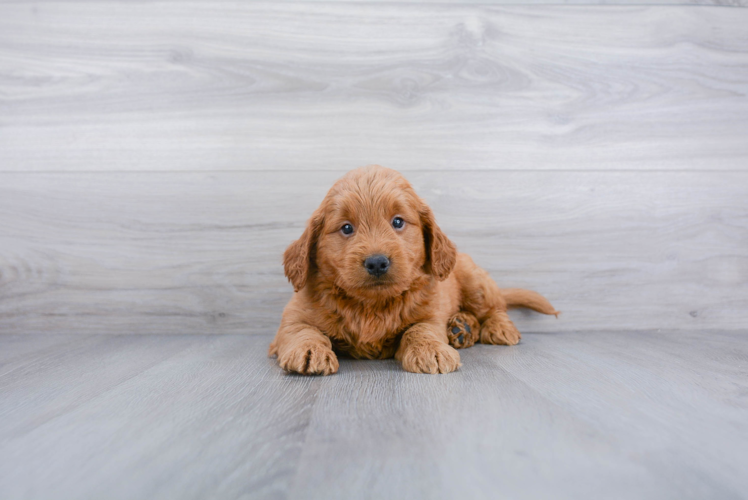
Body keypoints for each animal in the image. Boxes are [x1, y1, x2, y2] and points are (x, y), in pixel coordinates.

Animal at [268, 166, 556, 374]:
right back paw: (462, 327)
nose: (377, 262)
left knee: (495, 307)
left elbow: (420, 330)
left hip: (475, 281)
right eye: (346, 228)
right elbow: (303, 331)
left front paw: (432, 350)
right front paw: (308, 351)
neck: (371, 306)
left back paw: (495, 328)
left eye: (398, 222)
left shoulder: (429, 314)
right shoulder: (293, 316)